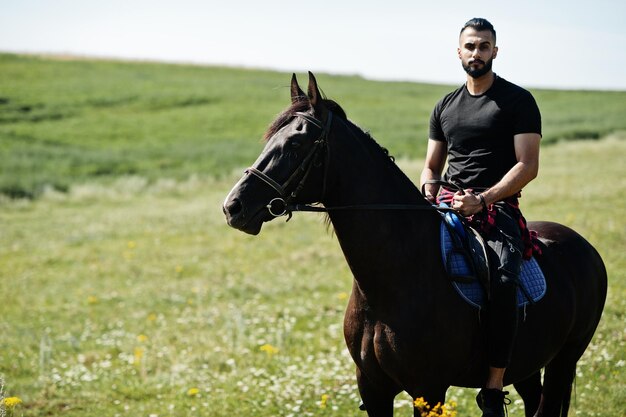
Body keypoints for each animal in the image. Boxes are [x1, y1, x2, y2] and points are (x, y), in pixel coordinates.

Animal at [221, 73, 604, 414]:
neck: (392, 281)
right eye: (270, 141)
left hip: (564, 360)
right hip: (527, 364)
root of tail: (584, 247)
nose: (232, 207)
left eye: (295, 144)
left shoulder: (428, 390)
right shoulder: (373, 388)